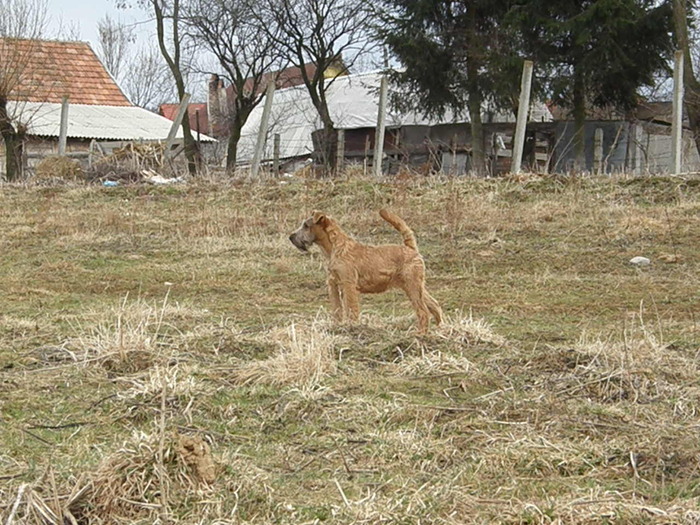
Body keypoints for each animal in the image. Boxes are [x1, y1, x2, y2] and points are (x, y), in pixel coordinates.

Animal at [290, 209, 442, 332]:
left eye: (306, 226)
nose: (291, 237)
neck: (335, 248)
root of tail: (411, 249)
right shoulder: (333, 285)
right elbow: (337, 310)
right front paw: (337, 327)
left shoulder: (348, 285)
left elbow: (351, 309)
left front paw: (352, 327)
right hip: (416, 287)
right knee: (434, 305)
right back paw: (440, 328)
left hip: (412, 286)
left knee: (423, 312)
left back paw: (420, 335)